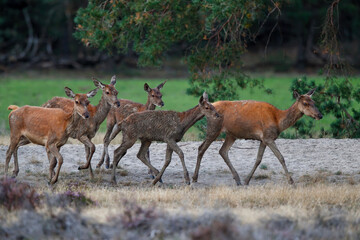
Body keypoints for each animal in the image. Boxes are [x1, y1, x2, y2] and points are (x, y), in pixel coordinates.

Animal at [193, 88, 322, 186]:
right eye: (305, 103)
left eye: (314, 102)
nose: (320, 115)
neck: (278, 121)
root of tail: (209, 105)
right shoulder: (268, 137)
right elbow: (281, 157)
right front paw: (291, 182)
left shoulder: (263, 139)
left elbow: (258, 159)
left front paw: (247, 180)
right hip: (213, 128)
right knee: (201, 148)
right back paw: (194, 178)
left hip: (231, 134)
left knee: (222, 151)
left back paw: (238, 179)